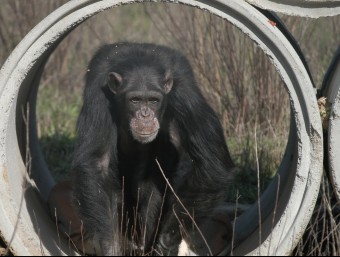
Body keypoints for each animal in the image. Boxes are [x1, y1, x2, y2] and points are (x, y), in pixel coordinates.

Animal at [71, 42, 236, 254]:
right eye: (135, 100)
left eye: (153, 100)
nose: (145, 115)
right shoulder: (98, 87)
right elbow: (97, 162)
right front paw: (110, 246)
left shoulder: (185, 88)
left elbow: (212, 163)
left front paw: (166, 241)